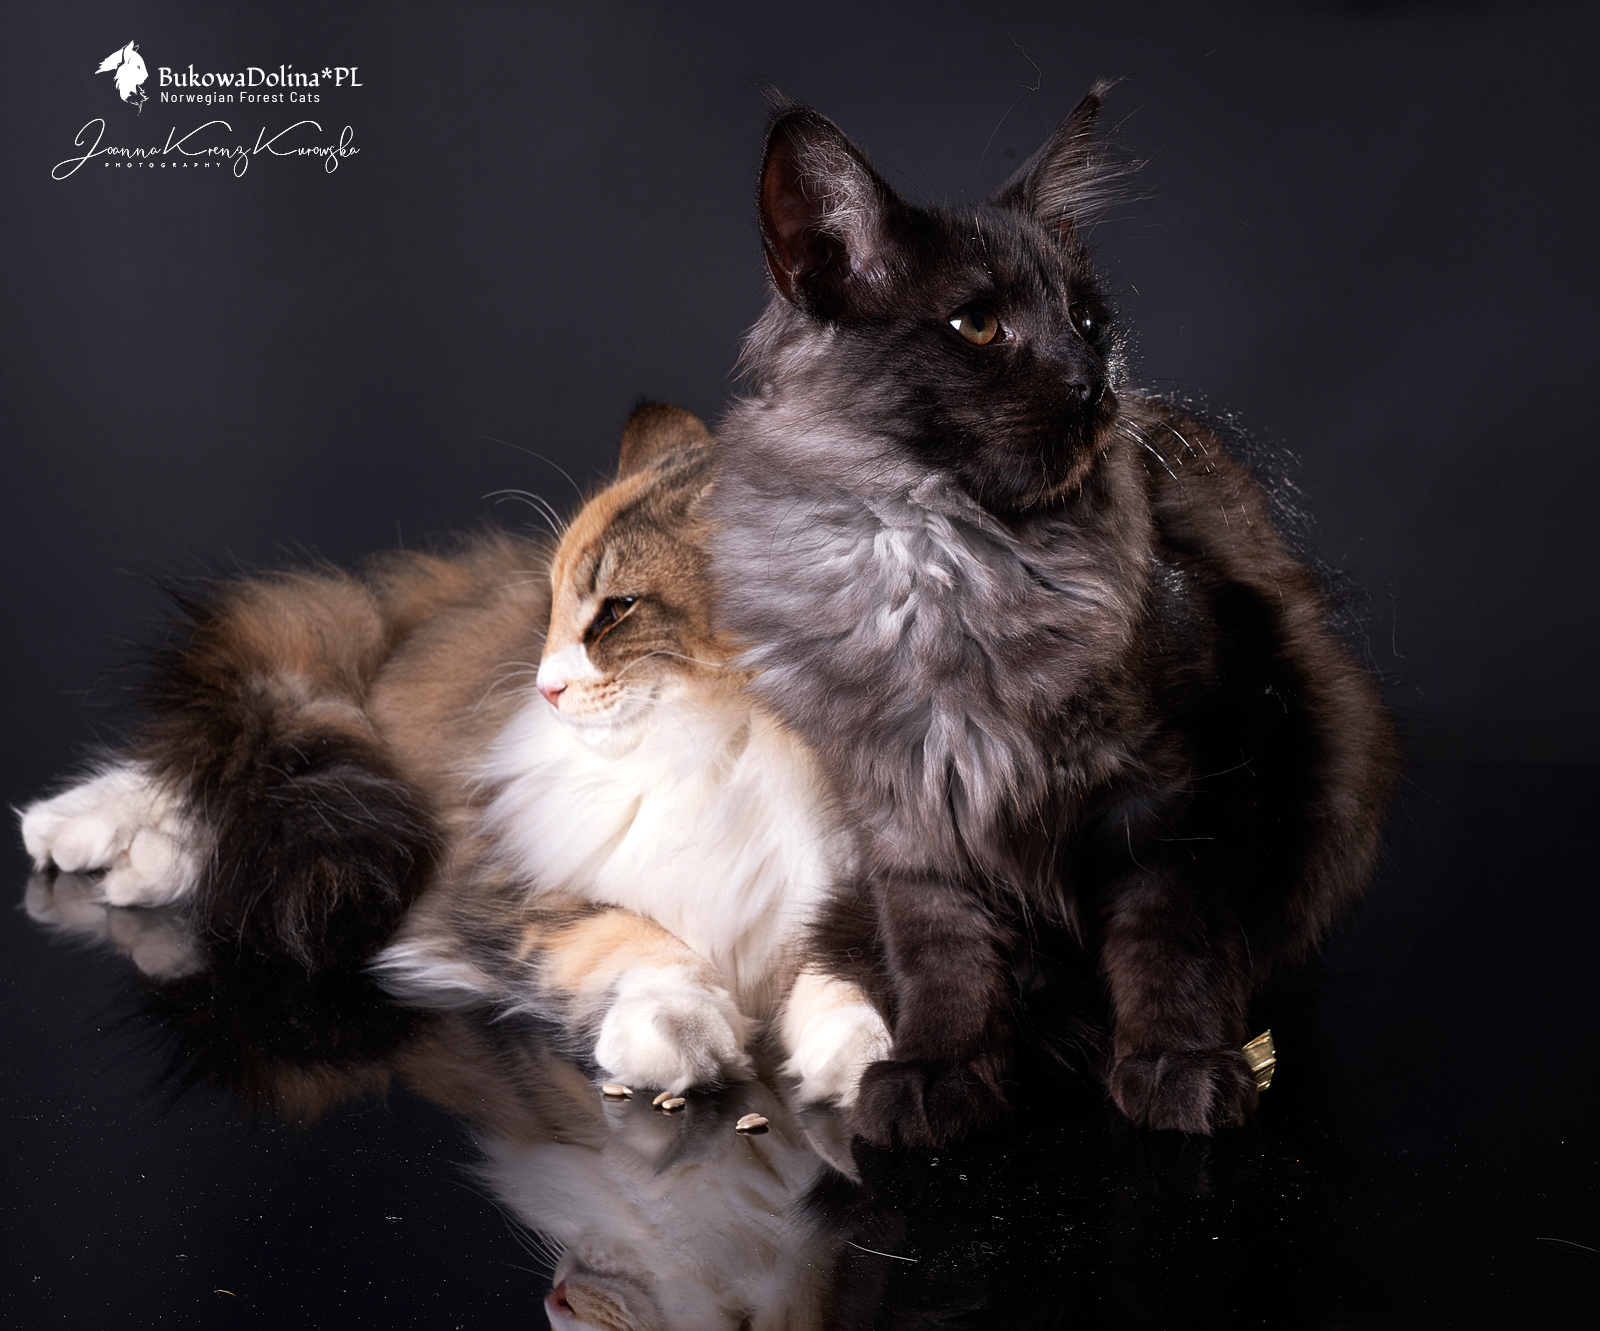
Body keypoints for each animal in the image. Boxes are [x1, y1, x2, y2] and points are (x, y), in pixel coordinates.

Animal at [21, 404, 891, 1105]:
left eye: (617, 610)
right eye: (558, 607)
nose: (543, 686)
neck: (739, 746)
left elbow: (846, 970)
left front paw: (864, 1057)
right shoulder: (501, 878)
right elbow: (629, 936)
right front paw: (678, 1033)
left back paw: (145, 863)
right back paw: (75, 830)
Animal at [708, 86, 1401, 1146]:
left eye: (1085, 319)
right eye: (977, 324)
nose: (1093, 383)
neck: (949, 566)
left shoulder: (1184, 781)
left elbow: (1169, 940)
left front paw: (1177, 1064)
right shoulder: (907, 815)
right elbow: (942, 957)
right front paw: (940, 1069)